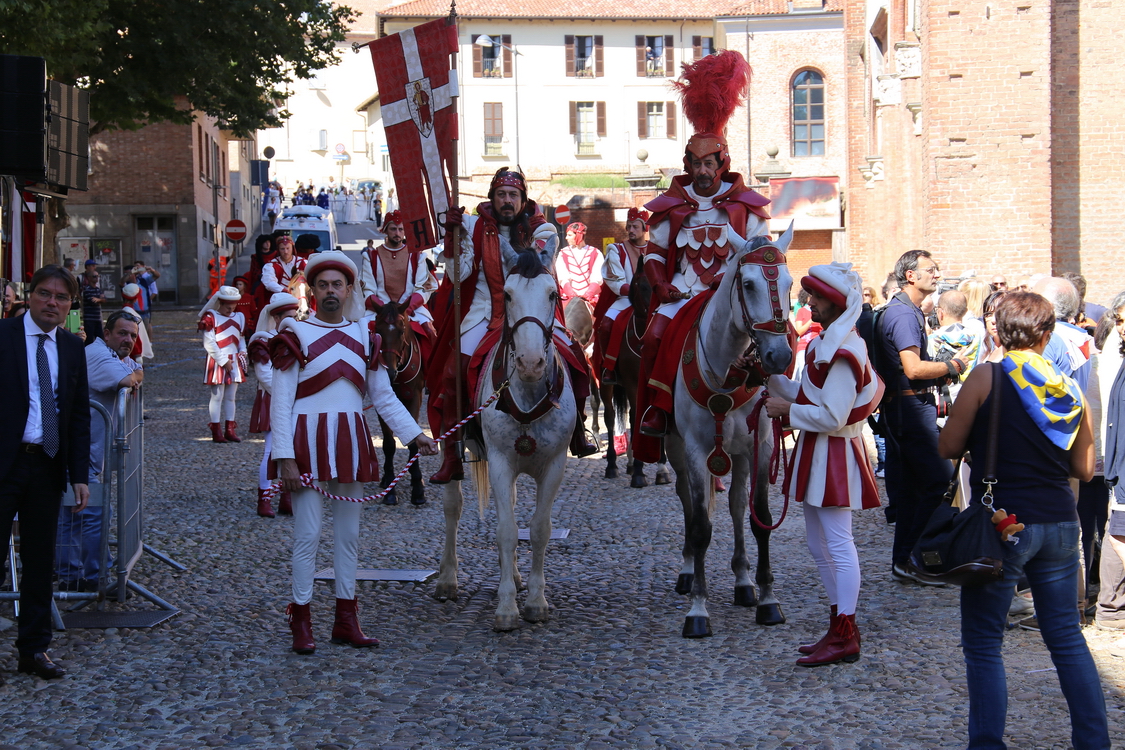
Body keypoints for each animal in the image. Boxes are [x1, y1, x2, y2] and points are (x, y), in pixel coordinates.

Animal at [369, 301, 425, 508]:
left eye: (401, 332)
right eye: (377, 330)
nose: (388, 372)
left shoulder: (415, 397)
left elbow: (414, 443)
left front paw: (418, 488)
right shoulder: (381, 402)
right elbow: (388, 445)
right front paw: (390, 491)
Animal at [434, 251, 576, 634]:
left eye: (553, 294)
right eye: (508, 296)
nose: (530, 363)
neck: (526, 391)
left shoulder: (555, 465)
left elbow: (539, 530)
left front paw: (536, 602)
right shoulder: (499, 462)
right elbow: (507, 531)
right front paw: (507, 608)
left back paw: (512, 574)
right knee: (453, 506)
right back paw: (448, 580)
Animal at [603, 260, 670, 490]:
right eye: (642, 285)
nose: (655, 311)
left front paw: (661, 469)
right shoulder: (633, 384)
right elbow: (634, 419)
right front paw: (640, 473)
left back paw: (631, 463)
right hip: (604, 384)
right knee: (610, 417)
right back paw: (613, 465)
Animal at [666, 224, 801, 638]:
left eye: (789, 283)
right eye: (748, 283)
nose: (779, 357)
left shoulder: (761, 445)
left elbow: (759, 518)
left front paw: (768, 600)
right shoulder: (696, 451)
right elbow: (699, 526)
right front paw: (697, 608)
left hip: (739, 453)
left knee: (738, 507)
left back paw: (744, 583)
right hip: (677, 450)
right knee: (688, 503)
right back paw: (688, 571)